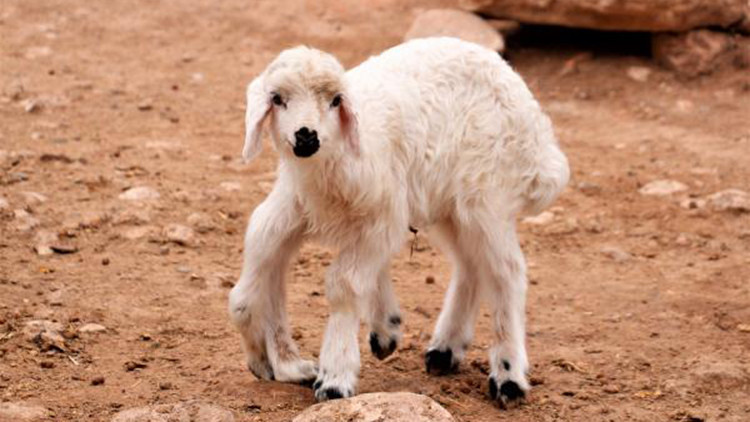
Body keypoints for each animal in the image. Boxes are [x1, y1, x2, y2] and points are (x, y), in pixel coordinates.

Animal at [228, 37, 569, 405]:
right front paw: (273, 359)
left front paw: (334, 377)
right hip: (448, 204)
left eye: (336, 101)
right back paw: (445, 350)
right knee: (470, 266)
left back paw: (508, 376)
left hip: (485, 195)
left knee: (507, 271)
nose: (306, 136)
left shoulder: (383, 218)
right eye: (277, 99)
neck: (332, 164)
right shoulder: (295, 207)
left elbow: (344, 284)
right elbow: (258, 254)